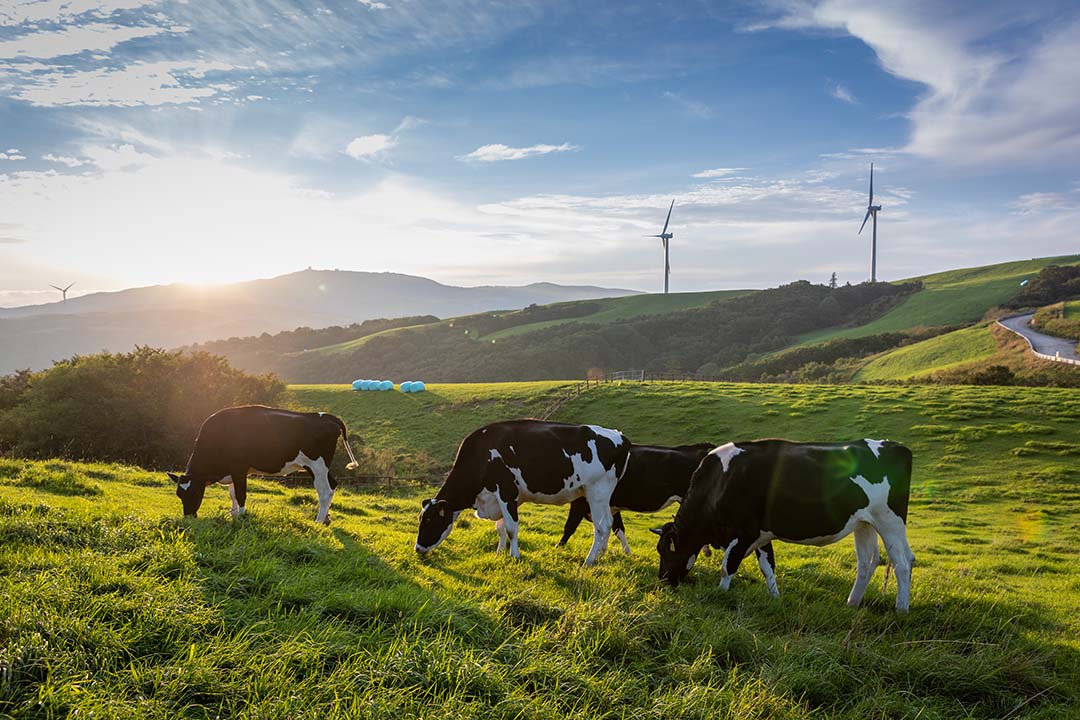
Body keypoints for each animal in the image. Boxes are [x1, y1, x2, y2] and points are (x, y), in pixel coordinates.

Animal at [165, 405, 358, 524]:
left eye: (195, 493)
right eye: (179, 495)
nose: (189, 517)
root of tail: (326, 417)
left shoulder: (239, 468)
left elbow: (241, 494)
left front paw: (241, 517)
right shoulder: (235, 471)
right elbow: (232, 494)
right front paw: (233, 515)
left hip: (317, 465)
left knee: (324, 491)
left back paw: (318, 521)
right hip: (319, 467)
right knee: (332, 484)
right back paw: (326, 519)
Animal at [414, 418, 630, 565]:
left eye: (430, 520)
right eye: (421, 518)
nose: (418, 548)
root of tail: (620, 436)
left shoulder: (506, 491)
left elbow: (511, 528)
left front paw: (514, 556)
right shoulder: (500, 498)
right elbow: (500, 528)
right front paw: (500, 553)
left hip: (597, 490)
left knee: (602, 526)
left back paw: (589, 561)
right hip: (601, 495)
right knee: (610, 524)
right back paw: (600, 556)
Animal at [557, 442, 717, 557]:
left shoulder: (580, 503)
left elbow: (569, 527)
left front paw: (559, 547)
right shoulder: (612, 507)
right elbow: (617, 529)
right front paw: (616, 553)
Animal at [652, 440, 915, 613]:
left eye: (668, 551)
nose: (663, 581)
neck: (719, 483)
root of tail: (896, 446)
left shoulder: (744, 533)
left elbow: (728, 567)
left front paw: (720, 595)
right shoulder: (761, 534)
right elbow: (768, 567)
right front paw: (775, 598)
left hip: (889, 520)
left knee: (902, 563)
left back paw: (901, 610)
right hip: (865, 523)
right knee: (868, 561)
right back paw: (852, 603)